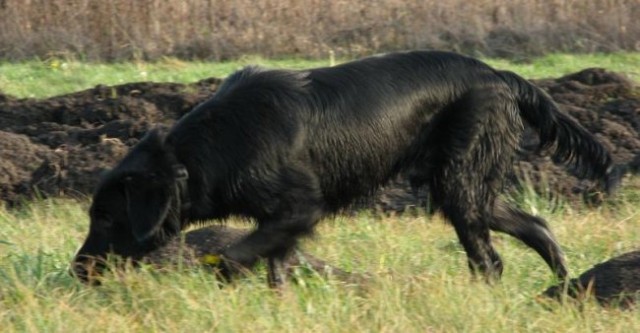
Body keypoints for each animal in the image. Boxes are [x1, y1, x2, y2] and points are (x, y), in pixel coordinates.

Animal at [72, 50, 616, 282]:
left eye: (106, 217)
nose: (77, 269)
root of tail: (500, 74)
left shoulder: (299, 207)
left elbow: (231, 257)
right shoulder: (279, 221)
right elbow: (275, 265)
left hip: (459, 180)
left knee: (489, 259)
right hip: (462, 184)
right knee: (534, 224)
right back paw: (561, 283)